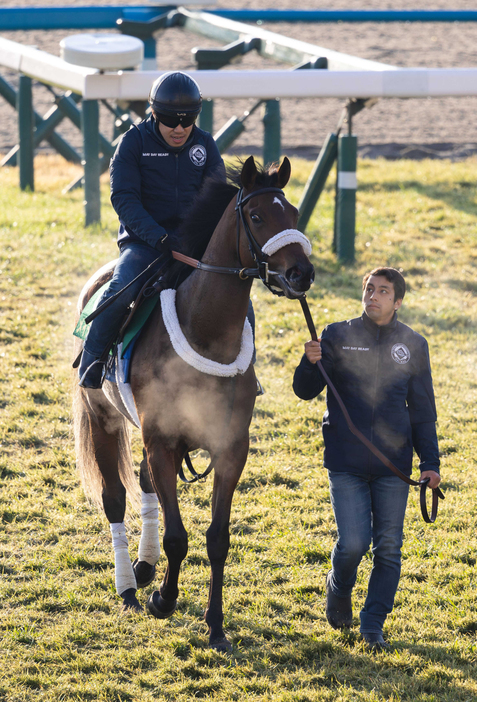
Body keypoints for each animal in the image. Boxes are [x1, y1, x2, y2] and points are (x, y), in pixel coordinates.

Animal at [72, 155, 314, 656]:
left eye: (295, 213)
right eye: (256, 216)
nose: (302, 273)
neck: (204, 330)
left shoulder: (230, 448)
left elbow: (217, 539)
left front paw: (215, 625)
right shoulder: (162, 441)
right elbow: (178, 537)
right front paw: (163, 599)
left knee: (145, 486)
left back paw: (144, 568)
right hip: (104, 419)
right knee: (115, 499)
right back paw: (129, 585)